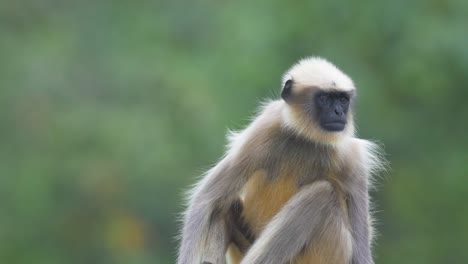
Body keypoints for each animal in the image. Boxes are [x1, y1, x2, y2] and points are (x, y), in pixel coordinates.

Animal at [177, 56, 386, 262]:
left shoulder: (351, 158)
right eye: (325, 98)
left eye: (342, 100)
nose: (338, 112)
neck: (305, 140)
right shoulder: (265, 129)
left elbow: (360, 252)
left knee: (321, 194)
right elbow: (206, 199)